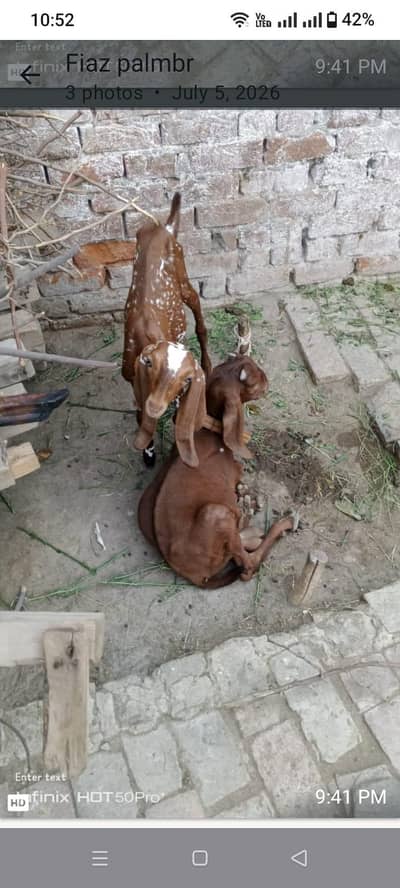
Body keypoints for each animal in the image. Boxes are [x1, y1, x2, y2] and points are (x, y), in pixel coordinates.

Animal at [122, 192, 211, 466]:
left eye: (188, 379)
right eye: (150, 364)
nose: (156, 406)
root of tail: (166, 227)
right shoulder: (133, 380)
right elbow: (139, 415)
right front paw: (148, 451)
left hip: (183, 278)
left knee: (200, 319)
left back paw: (209, 363)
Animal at [138, 355, 299, 588]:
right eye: (252, 381)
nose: (267, 379)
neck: (208, 430)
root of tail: (198, 577)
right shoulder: (236, 472)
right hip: (215, 513)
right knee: (247, 566)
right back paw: (281, 522)